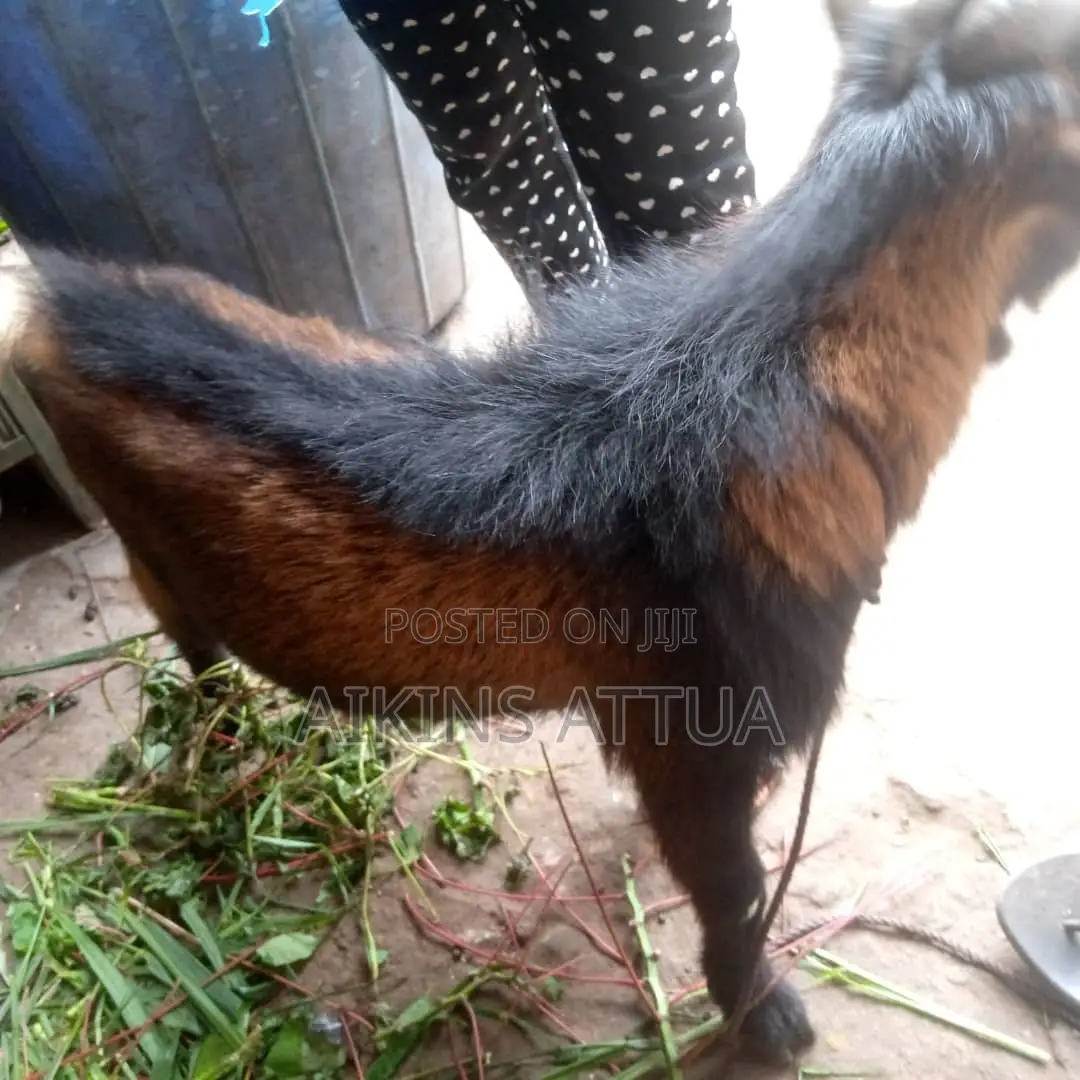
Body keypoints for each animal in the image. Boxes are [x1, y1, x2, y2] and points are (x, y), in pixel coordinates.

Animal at [4, 0, 1080, 1066]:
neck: (766, 366)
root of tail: (51, 302)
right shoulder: (697, 733)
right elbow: (732, 894)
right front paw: (762, 1014)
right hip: (146, 551)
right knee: (187, 638)